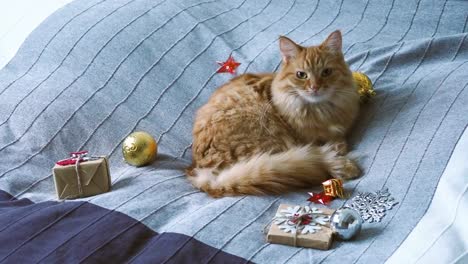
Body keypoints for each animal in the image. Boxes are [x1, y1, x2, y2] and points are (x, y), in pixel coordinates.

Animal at [187, 30, 362, 198]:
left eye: (326, 72)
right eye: (301, 75)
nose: (315, 87)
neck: (320, 110)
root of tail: (205, 175)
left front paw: (339, 143)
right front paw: (337, 147)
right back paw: (344, 166)